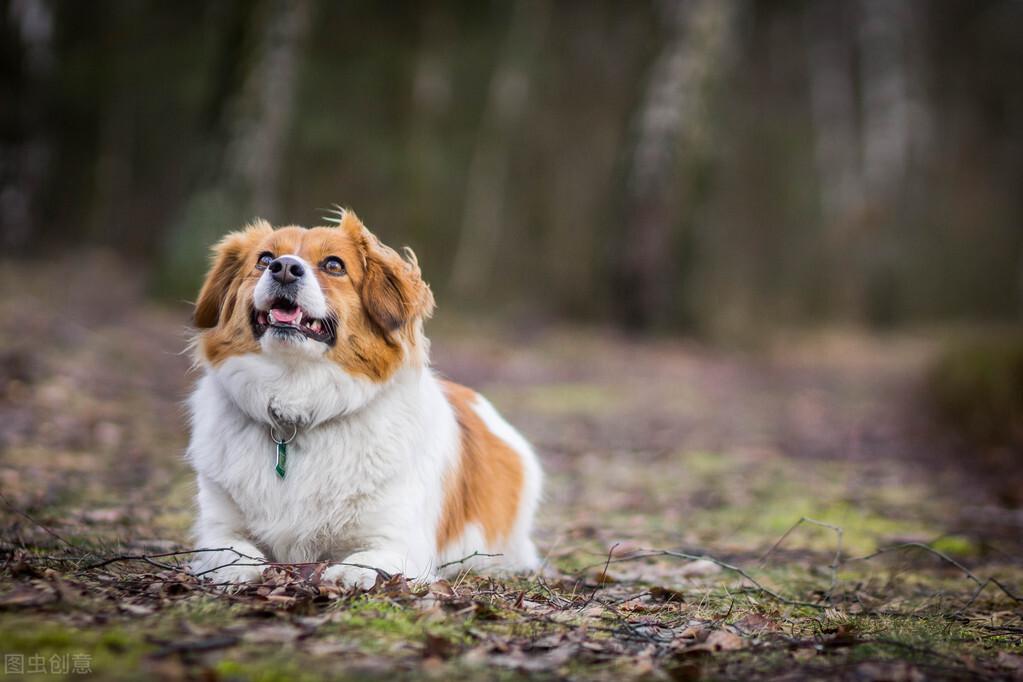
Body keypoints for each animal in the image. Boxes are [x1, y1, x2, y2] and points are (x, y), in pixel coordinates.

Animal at [189, 211, 548, 588]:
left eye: (334, 265)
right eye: (264, 259)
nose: (284, 267)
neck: (297, 400)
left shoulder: (398, 542)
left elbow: (364, 560)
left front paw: (347, 572)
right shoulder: (218, 528)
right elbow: (229, 550)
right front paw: (240, 568)